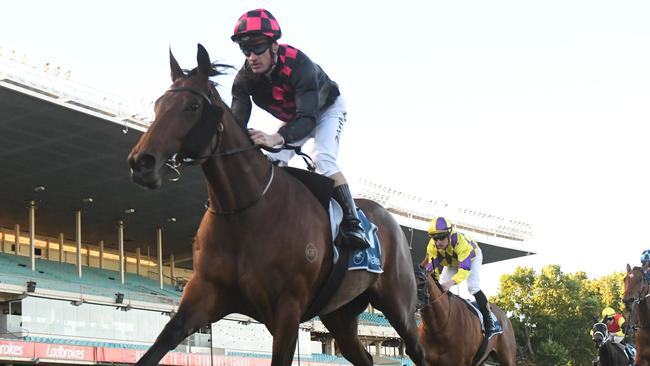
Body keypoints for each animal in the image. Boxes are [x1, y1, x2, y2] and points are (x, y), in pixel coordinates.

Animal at [126, 44, 426, 364]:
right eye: (158, 105)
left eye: (192, 106)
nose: (141, 162)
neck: (244, 211)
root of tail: (390, 220)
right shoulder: (204, 293)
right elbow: (161, 342)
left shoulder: (287, 309)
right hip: (340, 313)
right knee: (362, 355)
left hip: (399, 305)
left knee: (417, 350)